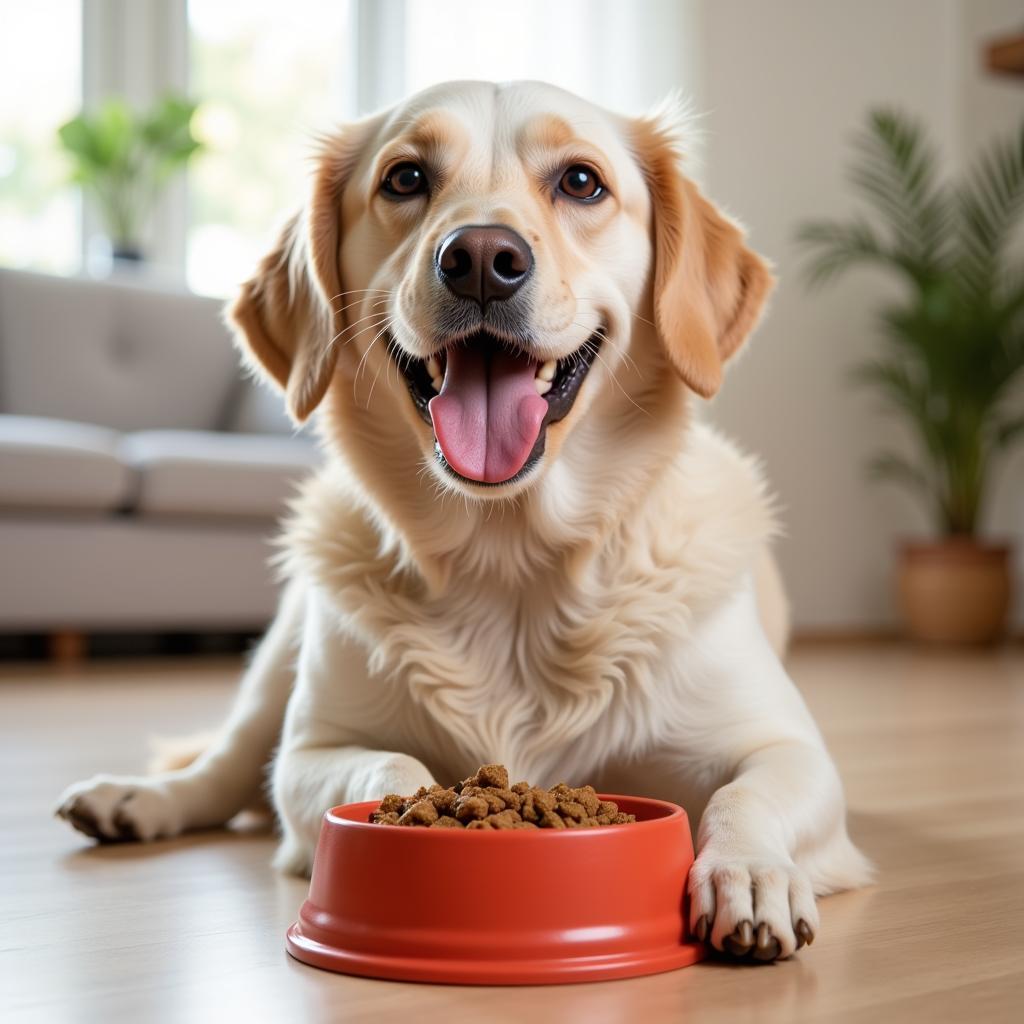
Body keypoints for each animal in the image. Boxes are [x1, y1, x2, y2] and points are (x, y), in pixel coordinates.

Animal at [56, 79, 872, 958]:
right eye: (406, 178)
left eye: (581, 182)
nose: (481, 258)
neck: (509, 558)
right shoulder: (315, 750)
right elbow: (380, 767)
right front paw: (414, 816)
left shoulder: (786, 747)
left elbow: (744, 795)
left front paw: (749, 874)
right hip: (285, 648)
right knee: (226, 766)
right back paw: (134, 801)